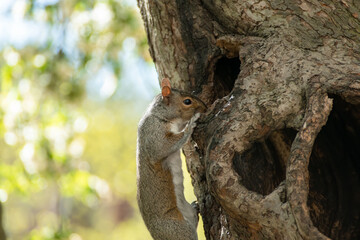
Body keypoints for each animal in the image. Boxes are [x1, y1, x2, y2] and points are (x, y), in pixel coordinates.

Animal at [136, 79, 207, 240]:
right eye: (187, 101)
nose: (205, 109)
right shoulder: (154, 134)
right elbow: (164, 147)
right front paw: (190, 126)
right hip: (177, 230)